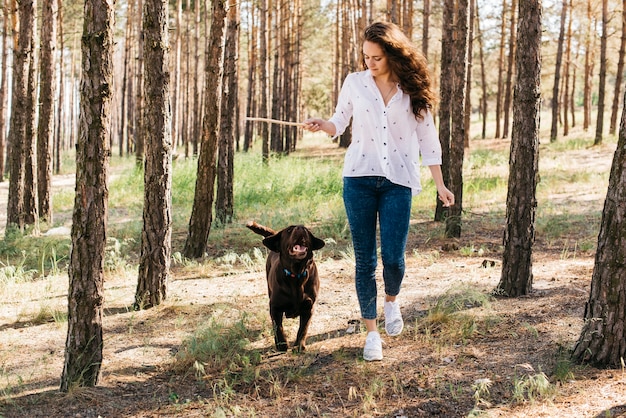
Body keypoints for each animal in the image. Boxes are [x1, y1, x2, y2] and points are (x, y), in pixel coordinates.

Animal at [247, 220, 324, 352]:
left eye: (307, 230)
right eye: (289, 230)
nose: (300, 227)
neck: (296, 275)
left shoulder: (308, 307)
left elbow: (303, 329)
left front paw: (299, 346)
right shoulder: (275, 307)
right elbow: (278, 327)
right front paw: (282, 345)